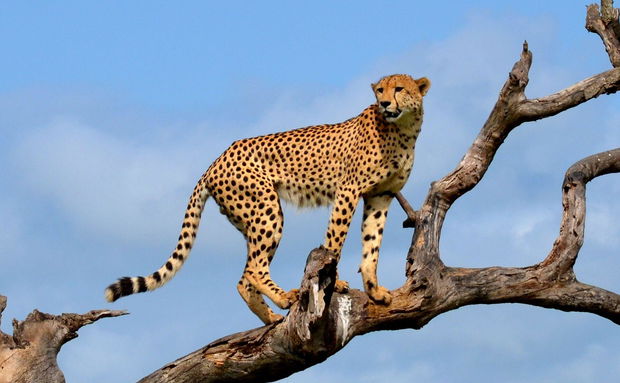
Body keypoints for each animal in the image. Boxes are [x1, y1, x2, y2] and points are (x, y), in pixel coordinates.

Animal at [104, 74, 428, 324]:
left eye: (399, 88)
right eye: (380, 90)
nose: (384, 104)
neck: (403, 130)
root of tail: (215, 161)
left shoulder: (380, 195)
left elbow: (372, 245)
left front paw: (375, 290)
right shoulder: (348, 191)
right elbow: (335, 241)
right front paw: (336, 284)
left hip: (250, 218)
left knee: (243, 277)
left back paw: (270, 316)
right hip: (266, 208)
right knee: (253, 269)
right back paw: (284, 298)